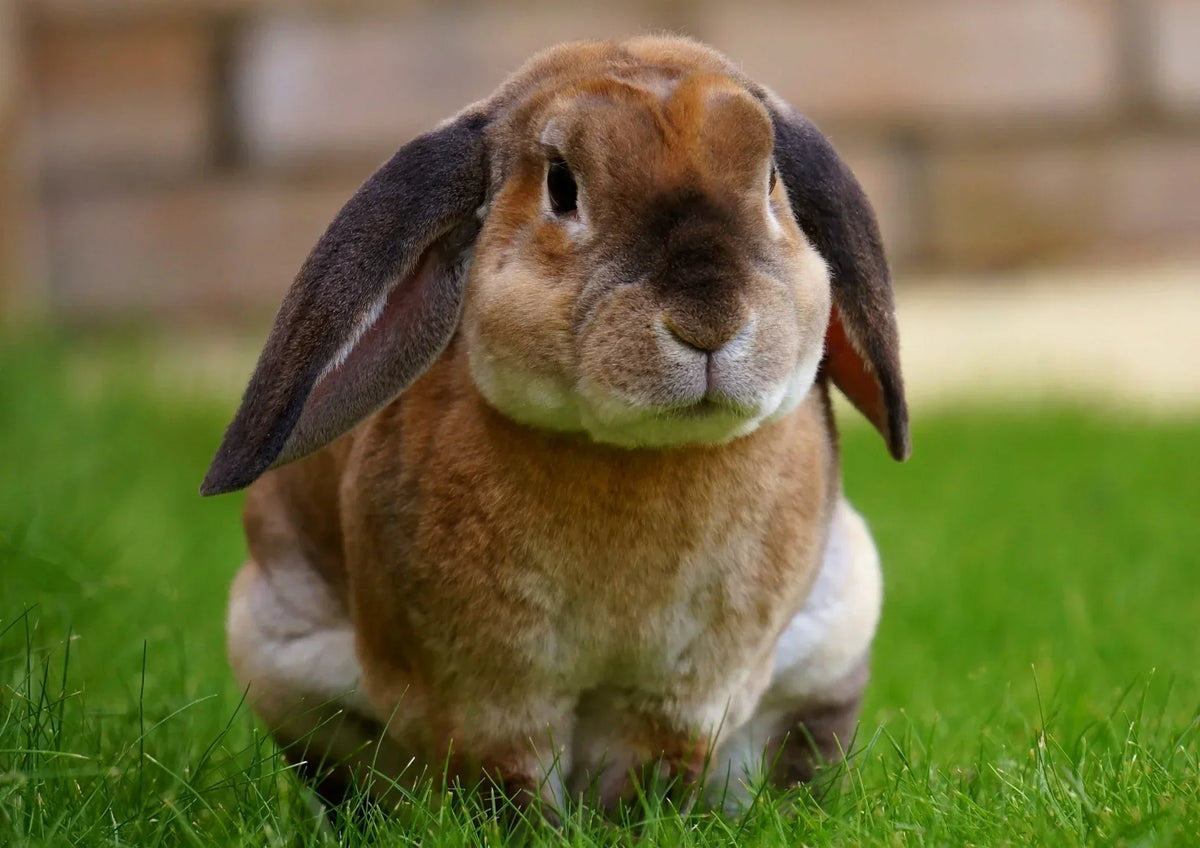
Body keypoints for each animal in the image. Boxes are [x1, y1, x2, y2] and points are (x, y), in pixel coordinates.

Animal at [204, 35, 909, 817]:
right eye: (562, 187)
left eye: (771, 181)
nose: (709, 322)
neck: (635, 455)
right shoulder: (489, 698)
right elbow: (508, 785)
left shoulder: (681, 698)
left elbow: (648, 777)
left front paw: (633, 825)